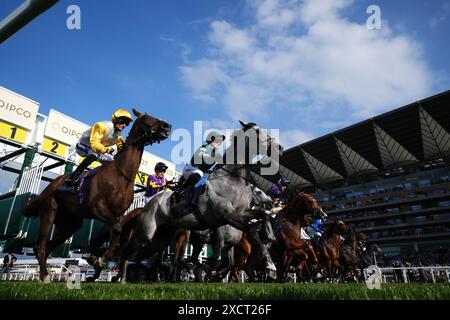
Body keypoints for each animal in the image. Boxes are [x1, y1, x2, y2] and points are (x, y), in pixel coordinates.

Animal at [22, 109, 171, 282]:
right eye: (146, 117)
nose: (166, 126)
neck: (121, 174)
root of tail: (50, 186)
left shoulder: (118, 214)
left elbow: (116, 234)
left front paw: (98, 261)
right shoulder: (96, 208)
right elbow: (116, 229)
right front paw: (98, 260)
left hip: (70, 224)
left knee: (49, 246)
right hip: (49, 210)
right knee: (39, 246)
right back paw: (45, 276)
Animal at [118, 122, 282, 282]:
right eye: (258, 132)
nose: (279, 147)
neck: (233, 178)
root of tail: (147, 205)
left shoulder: (241, 213)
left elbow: (263, 215)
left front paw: (270, 238)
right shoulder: (227, 216)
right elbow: (250, 231)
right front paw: (270, 266)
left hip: (162, 238)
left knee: (143, 255)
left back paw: (139, 278)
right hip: (149, 232)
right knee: (130, 251)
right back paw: (124, 278)